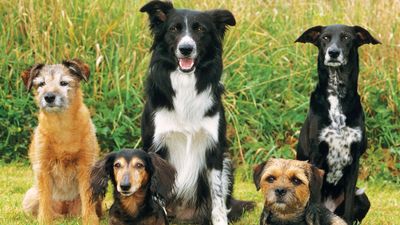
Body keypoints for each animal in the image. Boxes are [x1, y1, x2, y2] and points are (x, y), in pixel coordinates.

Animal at [21, 59, 101, 224]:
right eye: (41, 83)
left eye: (64, 83)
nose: (49, 97)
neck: (62, 126)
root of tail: (66, 211)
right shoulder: (43, 168)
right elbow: (45, 200)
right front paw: (44, 220)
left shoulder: (86, 166)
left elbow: (88, 198)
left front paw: (90, 220)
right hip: (30, 197)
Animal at [141, 0, 253, 224]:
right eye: (174, 29)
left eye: (200, 29)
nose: (186, 49)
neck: (186, 83)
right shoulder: (154, 147)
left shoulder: (214, 150)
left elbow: (217, 201)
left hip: (227, 162)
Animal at [296, 24, 380, 223]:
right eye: (325, 38)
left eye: (346, 37)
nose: (333, 52)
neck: (337, 94)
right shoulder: (316, 157)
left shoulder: (354, 162)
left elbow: (348, 208)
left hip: (362, 197)